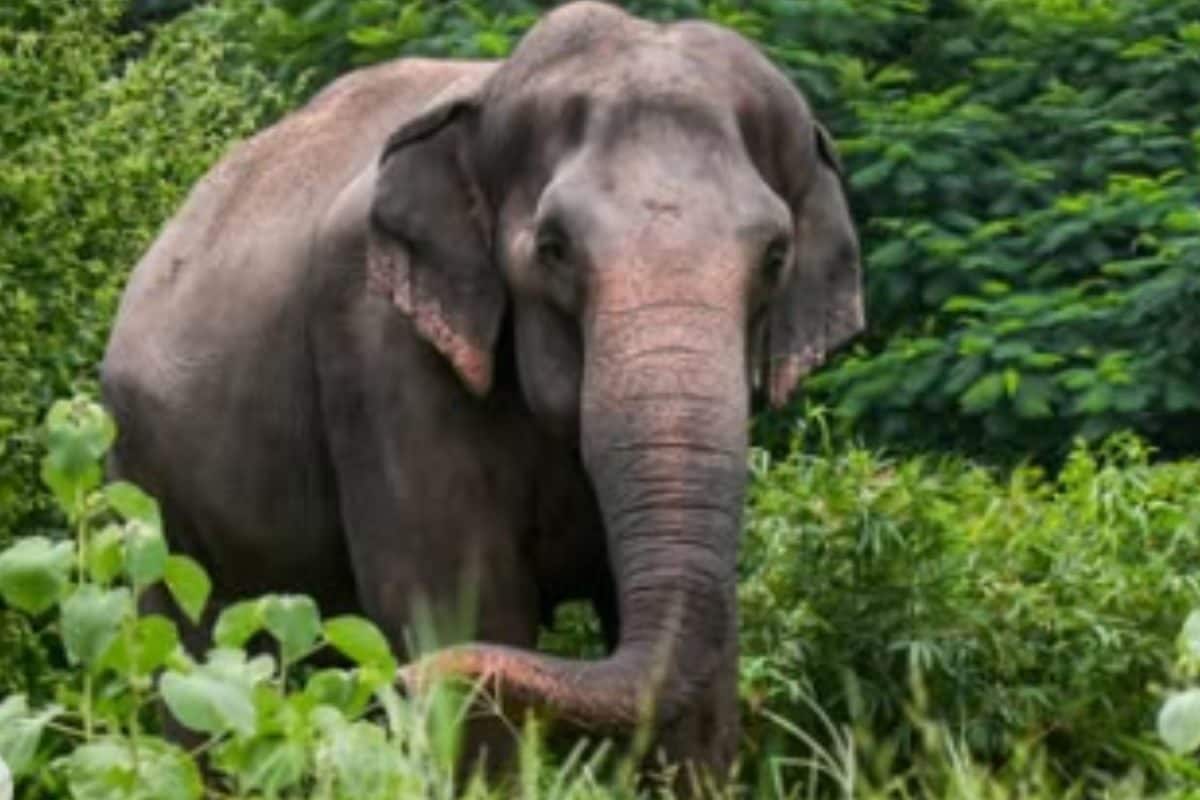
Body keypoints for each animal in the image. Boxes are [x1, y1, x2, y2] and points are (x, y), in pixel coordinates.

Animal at [101, 0, 863, 782]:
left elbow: (705, 658)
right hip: (145, 489)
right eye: (553, 248)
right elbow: (459, 606)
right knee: (196, 657)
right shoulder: (372, 335)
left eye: (775, 256)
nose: (397, 681)